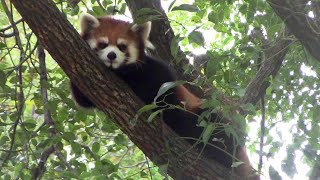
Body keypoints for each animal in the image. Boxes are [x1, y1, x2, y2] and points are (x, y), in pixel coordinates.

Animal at [71, 13, 258, 179]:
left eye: (122, 46)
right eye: (103, 44)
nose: (111, 55)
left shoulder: (157, 72)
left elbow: (157, 89)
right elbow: (82, 98)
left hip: (208, 119)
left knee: (216, 126)